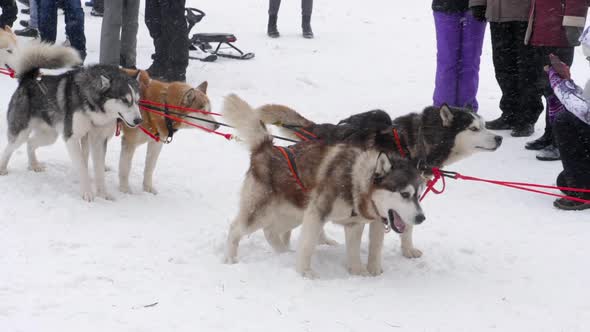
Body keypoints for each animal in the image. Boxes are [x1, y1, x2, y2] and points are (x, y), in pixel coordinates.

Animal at [0, 42, 143, 201]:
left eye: (137, 101)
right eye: (124, 100)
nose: (139, 120)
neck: (92, 106)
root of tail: (28, 79)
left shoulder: (99, 140)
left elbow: (99, 170)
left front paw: (103, 193)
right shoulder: (72, 138)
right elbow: (82, 166)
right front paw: (87, 193)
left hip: (50, 135)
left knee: (30, 143)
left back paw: (34, 165)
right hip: (21, 133)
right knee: (8, 149)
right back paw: (3, 169)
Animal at [222, 94, 426, 278]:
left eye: (418, 195)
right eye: (404, 194)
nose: (421, 217)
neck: (355, 179)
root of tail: (266, 148)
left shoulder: (354, 224)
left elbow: (355, 251)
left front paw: (358, 272)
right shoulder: (316, 215)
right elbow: (307, 245)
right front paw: (305, 273)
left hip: (293, 215)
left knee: (270, 231)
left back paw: (284, 254)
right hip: (260, 213)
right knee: (235, 229)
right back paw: (230, 259)